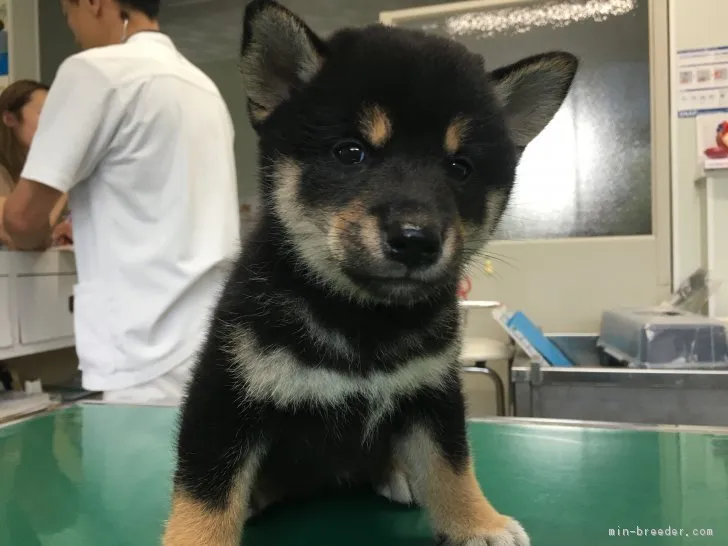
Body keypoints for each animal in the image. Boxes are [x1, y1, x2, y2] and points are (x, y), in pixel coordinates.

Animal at [162, 2, 576, 540]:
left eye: (459, 167)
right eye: (350, 152)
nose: (416, 239)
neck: (361, 320)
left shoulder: (432, 392)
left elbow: (451, 466)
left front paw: (477, 522)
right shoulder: (224, 394)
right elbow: (205, 496)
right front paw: (195, 538)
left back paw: (396, 475)